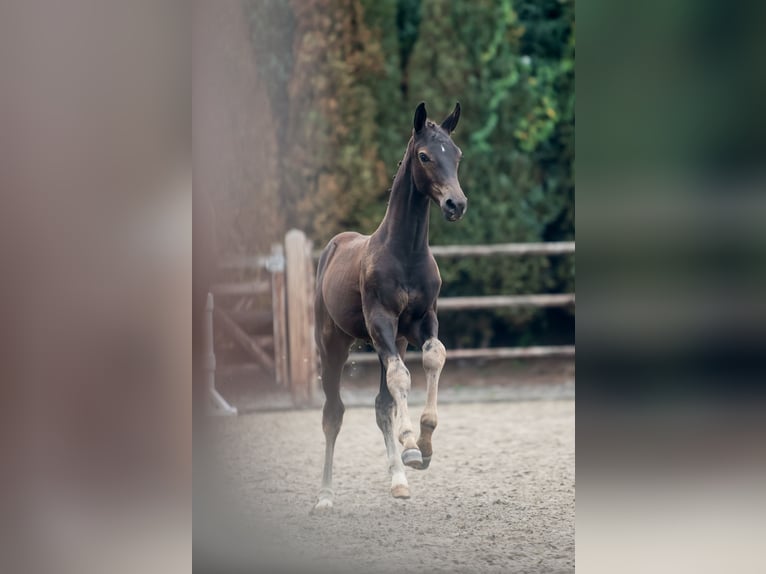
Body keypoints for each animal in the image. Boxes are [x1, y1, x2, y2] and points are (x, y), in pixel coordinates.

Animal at [314, 101, 468, 510]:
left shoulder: (421, 321)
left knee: (382, 406)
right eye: (425, 155)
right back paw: (325, 495)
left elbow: (433, 357)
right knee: (333, 413)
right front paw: (411, 443)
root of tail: (333, 246)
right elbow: (402, 377)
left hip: (392, 341)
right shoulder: (380, 322)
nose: (456, 204)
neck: (406, 252)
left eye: (457, 154)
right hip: (333, 343)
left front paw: (424, 445)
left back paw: (399, 479)